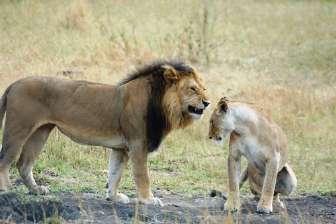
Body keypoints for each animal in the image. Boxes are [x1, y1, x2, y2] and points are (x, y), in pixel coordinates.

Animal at [0, 60, 210, 206]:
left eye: (204, 88)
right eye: (192, 89)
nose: (207, 102)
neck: (163, 106)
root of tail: (14, 83)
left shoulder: (121, 149)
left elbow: (114, 173)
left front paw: (113, 197)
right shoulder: (137, 144)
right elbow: (142, 175)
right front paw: (148, 200)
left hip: (41, 132)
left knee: (23, 164)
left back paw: (36, 190)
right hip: (18, 128)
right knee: (5, 160)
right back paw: (6, 188)